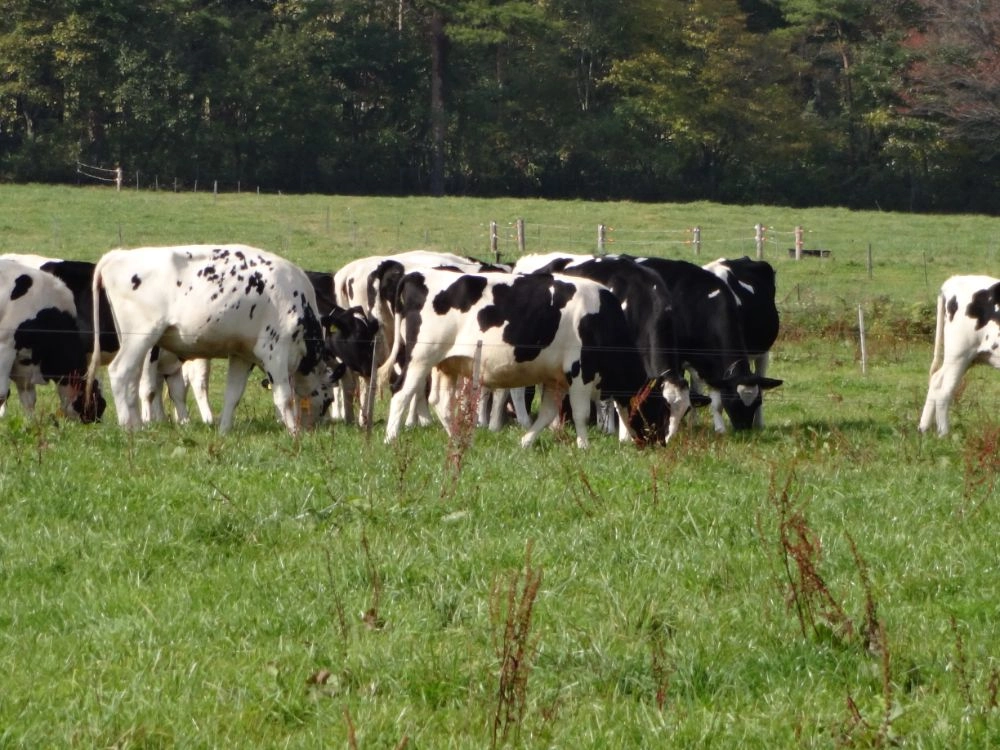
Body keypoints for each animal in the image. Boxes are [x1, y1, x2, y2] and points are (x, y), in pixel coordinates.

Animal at [0, 258, 106, 424]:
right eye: (98, 402)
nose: (97, 422)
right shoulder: (6, 347)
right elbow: (3, 394)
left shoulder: (24, 364)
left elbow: (28, 399)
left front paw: (31, 424)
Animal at [87, 245, 336, 434]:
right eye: (329, 400)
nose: (314, 428)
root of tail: (118, 255)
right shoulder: (275, 351)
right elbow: (284, 397)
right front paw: (293, 432)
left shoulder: (242, 355)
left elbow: (233, 395)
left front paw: (224, 430)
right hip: (141, 338)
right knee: (120, 372)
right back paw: (127, 427)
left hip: (138, 343)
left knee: (135, 381)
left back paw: (138, 425)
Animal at [376, 268, 688, 450]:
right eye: (661, 408)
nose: (661, 443)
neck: (602, 318)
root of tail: (416, 275)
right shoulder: (580, 372)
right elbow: (579, 412)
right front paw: (584, 446)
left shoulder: (555, 378)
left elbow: (548, 413)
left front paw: (525, 442)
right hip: (420, 357)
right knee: (402, 393)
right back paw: (391, 437)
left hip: (446, 364)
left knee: (440, 402)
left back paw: (457, 439)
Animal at [704, 256, 780, 428]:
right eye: (732, 402)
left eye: (756, 403)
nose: (744, 429)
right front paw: (719, 428)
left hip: (763, 352)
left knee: (761, 379)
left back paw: (759, 424)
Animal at [916, 278, 996, 438]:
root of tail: (955, 279)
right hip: (959, 354)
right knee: (944, 391)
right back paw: (944, 434)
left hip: (965, 357)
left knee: (936, 380)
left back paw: (924, 428)